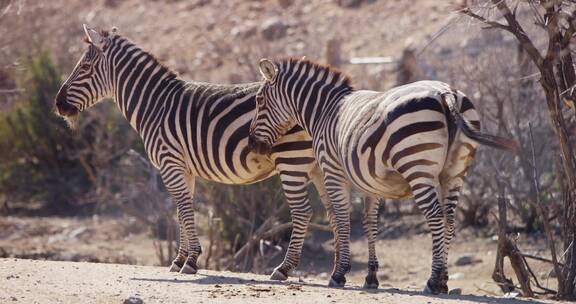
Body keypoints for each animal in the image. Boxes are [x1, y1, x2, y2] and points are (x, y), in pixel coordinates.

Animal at [54, 24, 384, 288]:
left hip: (291, 162)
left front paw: (190, 262)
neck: (154, 104)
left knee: (303, 212)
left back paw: (284, 269)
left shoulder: (170, 162)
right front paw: (180, 259)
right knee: (336, 212)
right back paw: (342, 273)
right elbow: (181, 210)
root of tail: (336, 103)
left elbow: (184, 209)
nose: (58, 105)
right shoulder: (183, 168)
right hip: (318, 166)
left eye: (83, 68)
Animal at [248, 58, 516, 294]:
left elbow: (343, 220)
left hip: (418, 167)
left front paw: (339, 274)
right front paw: (371, 276)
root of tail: (446, 92)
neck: (323, 111)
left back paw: (433, 281)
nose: (253, 144)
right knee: (450, 220)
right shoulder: (371, 183)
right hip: (454, 173)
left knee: (436, 217)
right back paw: (444, 280)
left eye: (259, 100)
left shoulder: (333, 172)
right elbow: (370, 224)